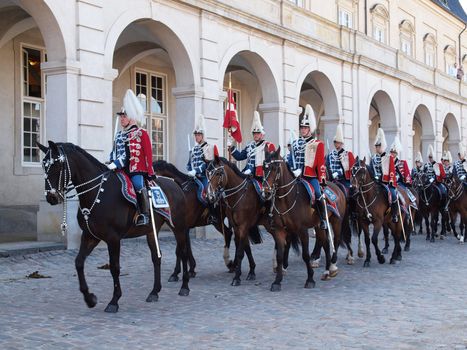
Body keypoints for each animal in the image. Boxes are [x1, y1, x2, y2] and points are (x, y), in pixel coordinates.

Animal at [38, 141, 192, 314]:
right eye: (44, 166)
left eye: (57, 165)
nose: (51, 197)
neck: (97, 193)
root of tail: (175, 184)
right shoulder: (90, 236)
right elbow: (78, 263)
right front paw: (90, 298)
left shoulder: (113, 238)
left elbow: (114, 268)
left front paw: (114, 301)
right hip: (152, 231)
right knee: (156, 257)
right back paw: (154, 292)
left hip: (178, 228)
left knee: (183, 253)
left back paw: (185, 286)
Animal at [264, 149, 348, 286]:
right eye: (263, 167)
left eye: (275, 168)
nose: (265, 192)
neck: (288, 199)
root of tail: (336, 187)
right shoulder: (281, 230)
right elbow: (280, 254)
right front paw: (277, 281)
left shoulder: (302, 230)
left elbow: (305, 254)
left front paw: (310, 279)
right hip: (319, 225)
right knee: (325, 243)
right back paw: (326, 271)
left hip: (336, 221)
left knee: (335, 240)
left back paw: (332, 267)